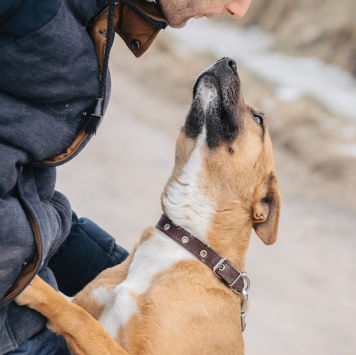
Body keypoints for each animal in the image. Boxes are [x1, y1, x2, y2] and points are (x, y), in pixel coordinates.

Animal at [16, 57, 280, 354]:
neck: (187, 240)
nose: (227, 60)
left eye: (258, 119)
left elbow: (81, 320)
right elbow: (84, 316)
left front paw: (31, 285)